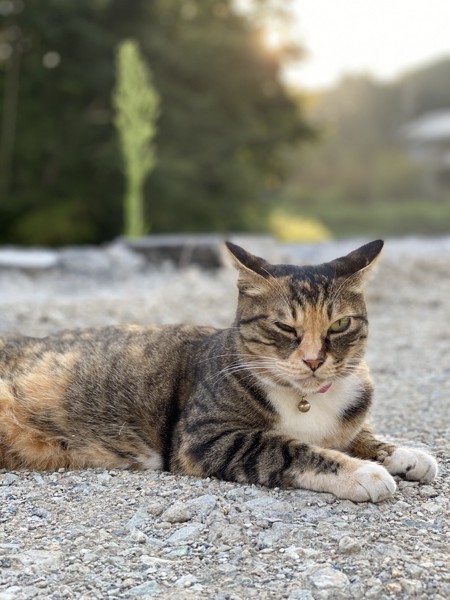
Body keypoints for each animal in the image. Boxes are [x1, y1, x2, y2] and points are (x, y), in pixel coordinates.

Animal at [0, 239, 436, 502]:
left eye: (340, 325)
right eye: (284, 327)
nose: (314, 360)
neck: (307, 401)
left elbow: (363, 435)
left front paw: (406, 454)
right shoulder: (203, 438)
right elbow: (289, 448)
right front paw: (363, 471)